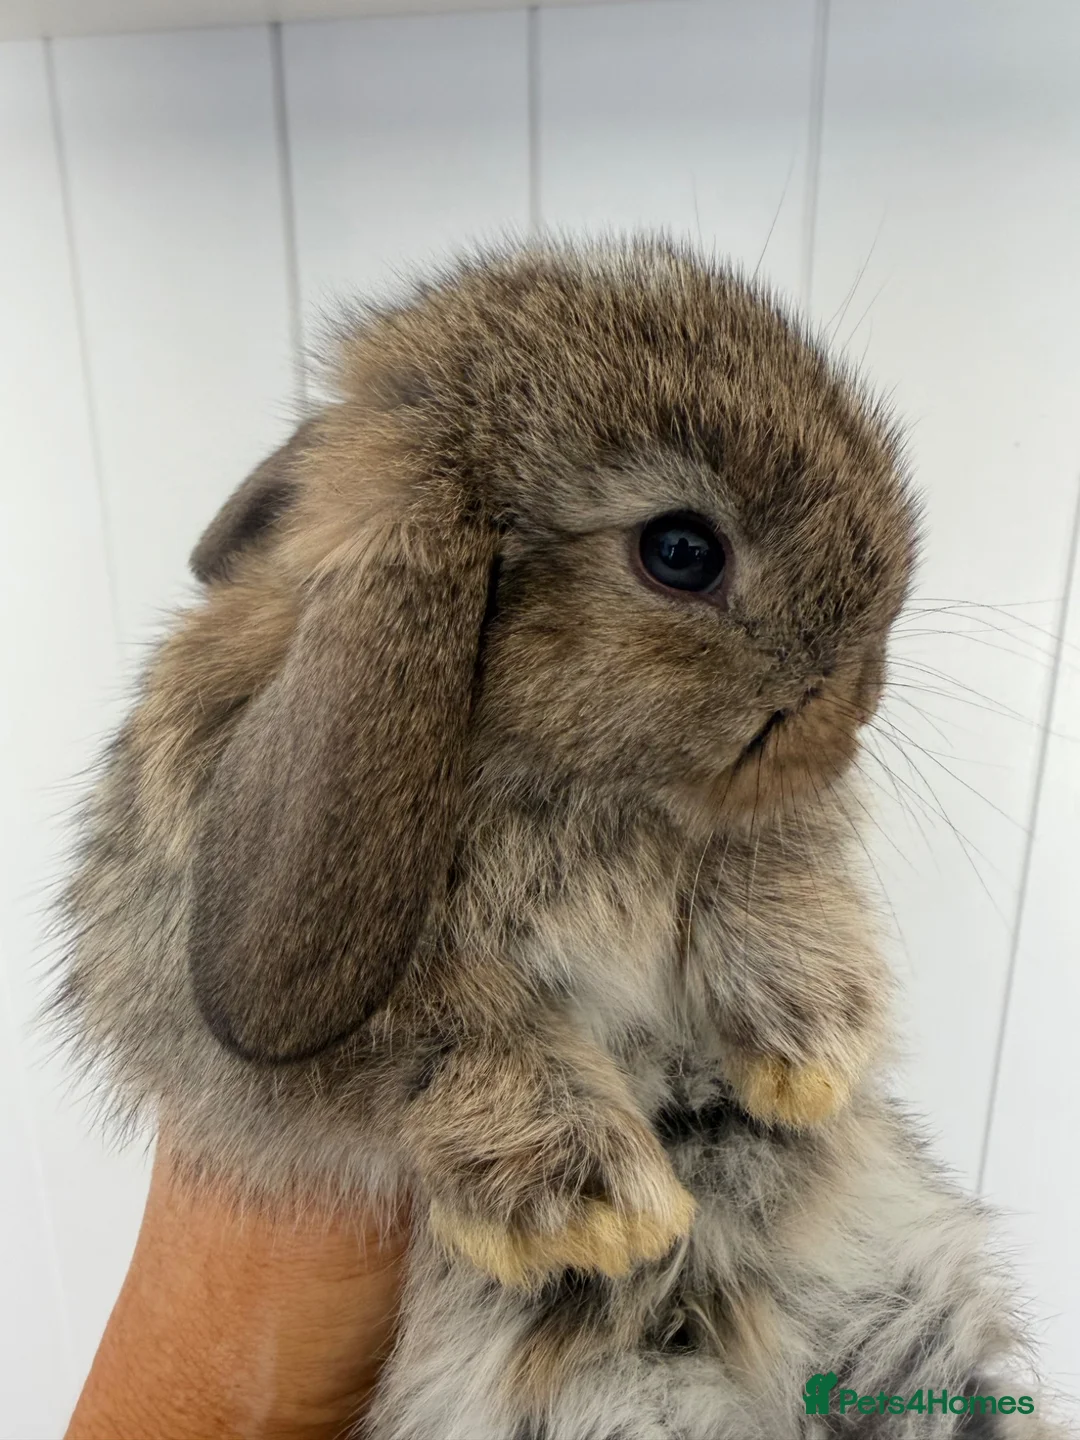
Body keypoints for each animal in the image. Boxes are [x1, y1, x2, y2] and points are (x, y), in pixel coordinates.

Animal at [52, 236, 1067, 1439]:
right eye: (681, 550)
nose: (856, 699)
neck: (564, 783)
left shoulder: (750, 843)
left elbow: (763, 874)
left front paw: (810, 1054)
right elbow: (444, 1035)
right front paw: (599, 1211)